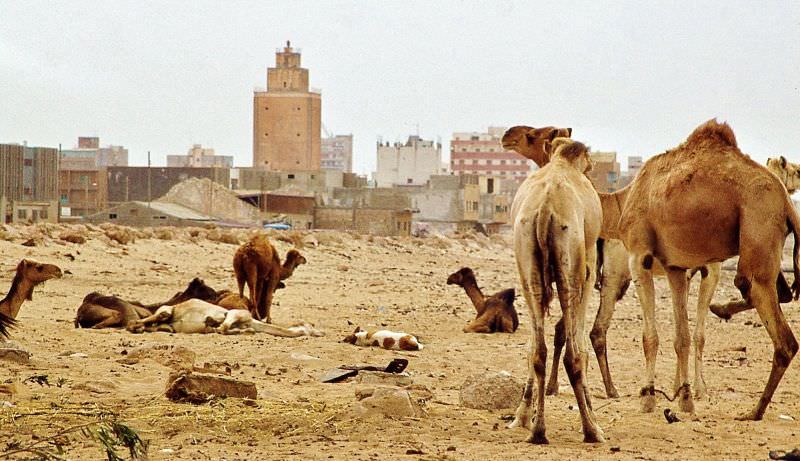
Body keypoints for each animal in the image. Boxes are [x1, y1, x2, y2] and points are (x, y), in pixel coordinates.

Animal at [510, 138, 604, 444]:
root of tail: (544, 210)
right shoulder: (587, 267)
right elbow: (581, 347)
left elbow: (532, 345)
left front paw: (522, 417)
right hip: (570, 260)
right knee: (572, 355)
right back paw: (591, 430)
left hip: (526, 258)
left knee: (538, 350)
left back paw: (538, 431)